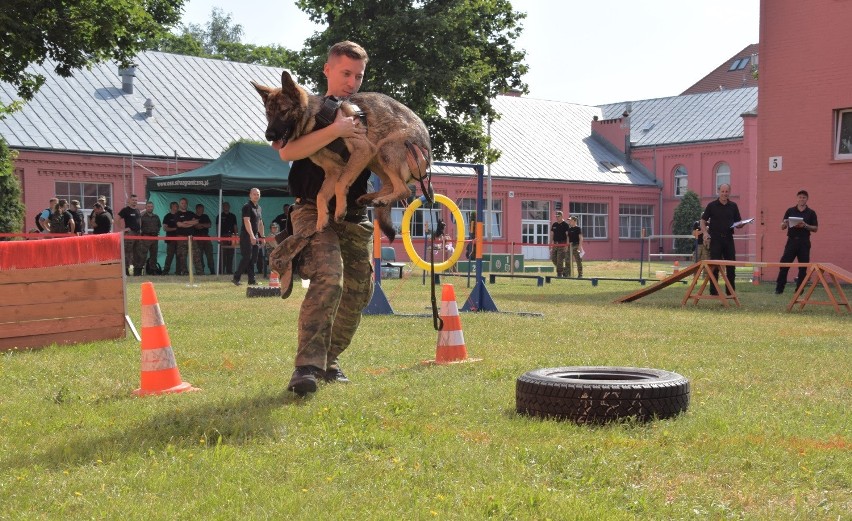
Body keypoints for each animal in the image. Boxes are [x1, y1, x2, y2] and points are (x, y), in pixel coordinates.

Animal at [251, 70, 426, 241]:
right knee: (390, 185)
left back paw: (382, 199)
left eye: (284, 111)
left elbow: (340, 184)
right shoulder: (333, 170)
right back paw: (369, 198)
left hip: (383, 150)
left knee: (404, 190)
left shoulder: (362, 150)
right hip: (374, 159)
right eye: (268, 113)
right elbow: (321, 195)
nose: (268, 135)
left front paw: (340, 210)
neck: (318, 122)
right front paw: (322, 219)